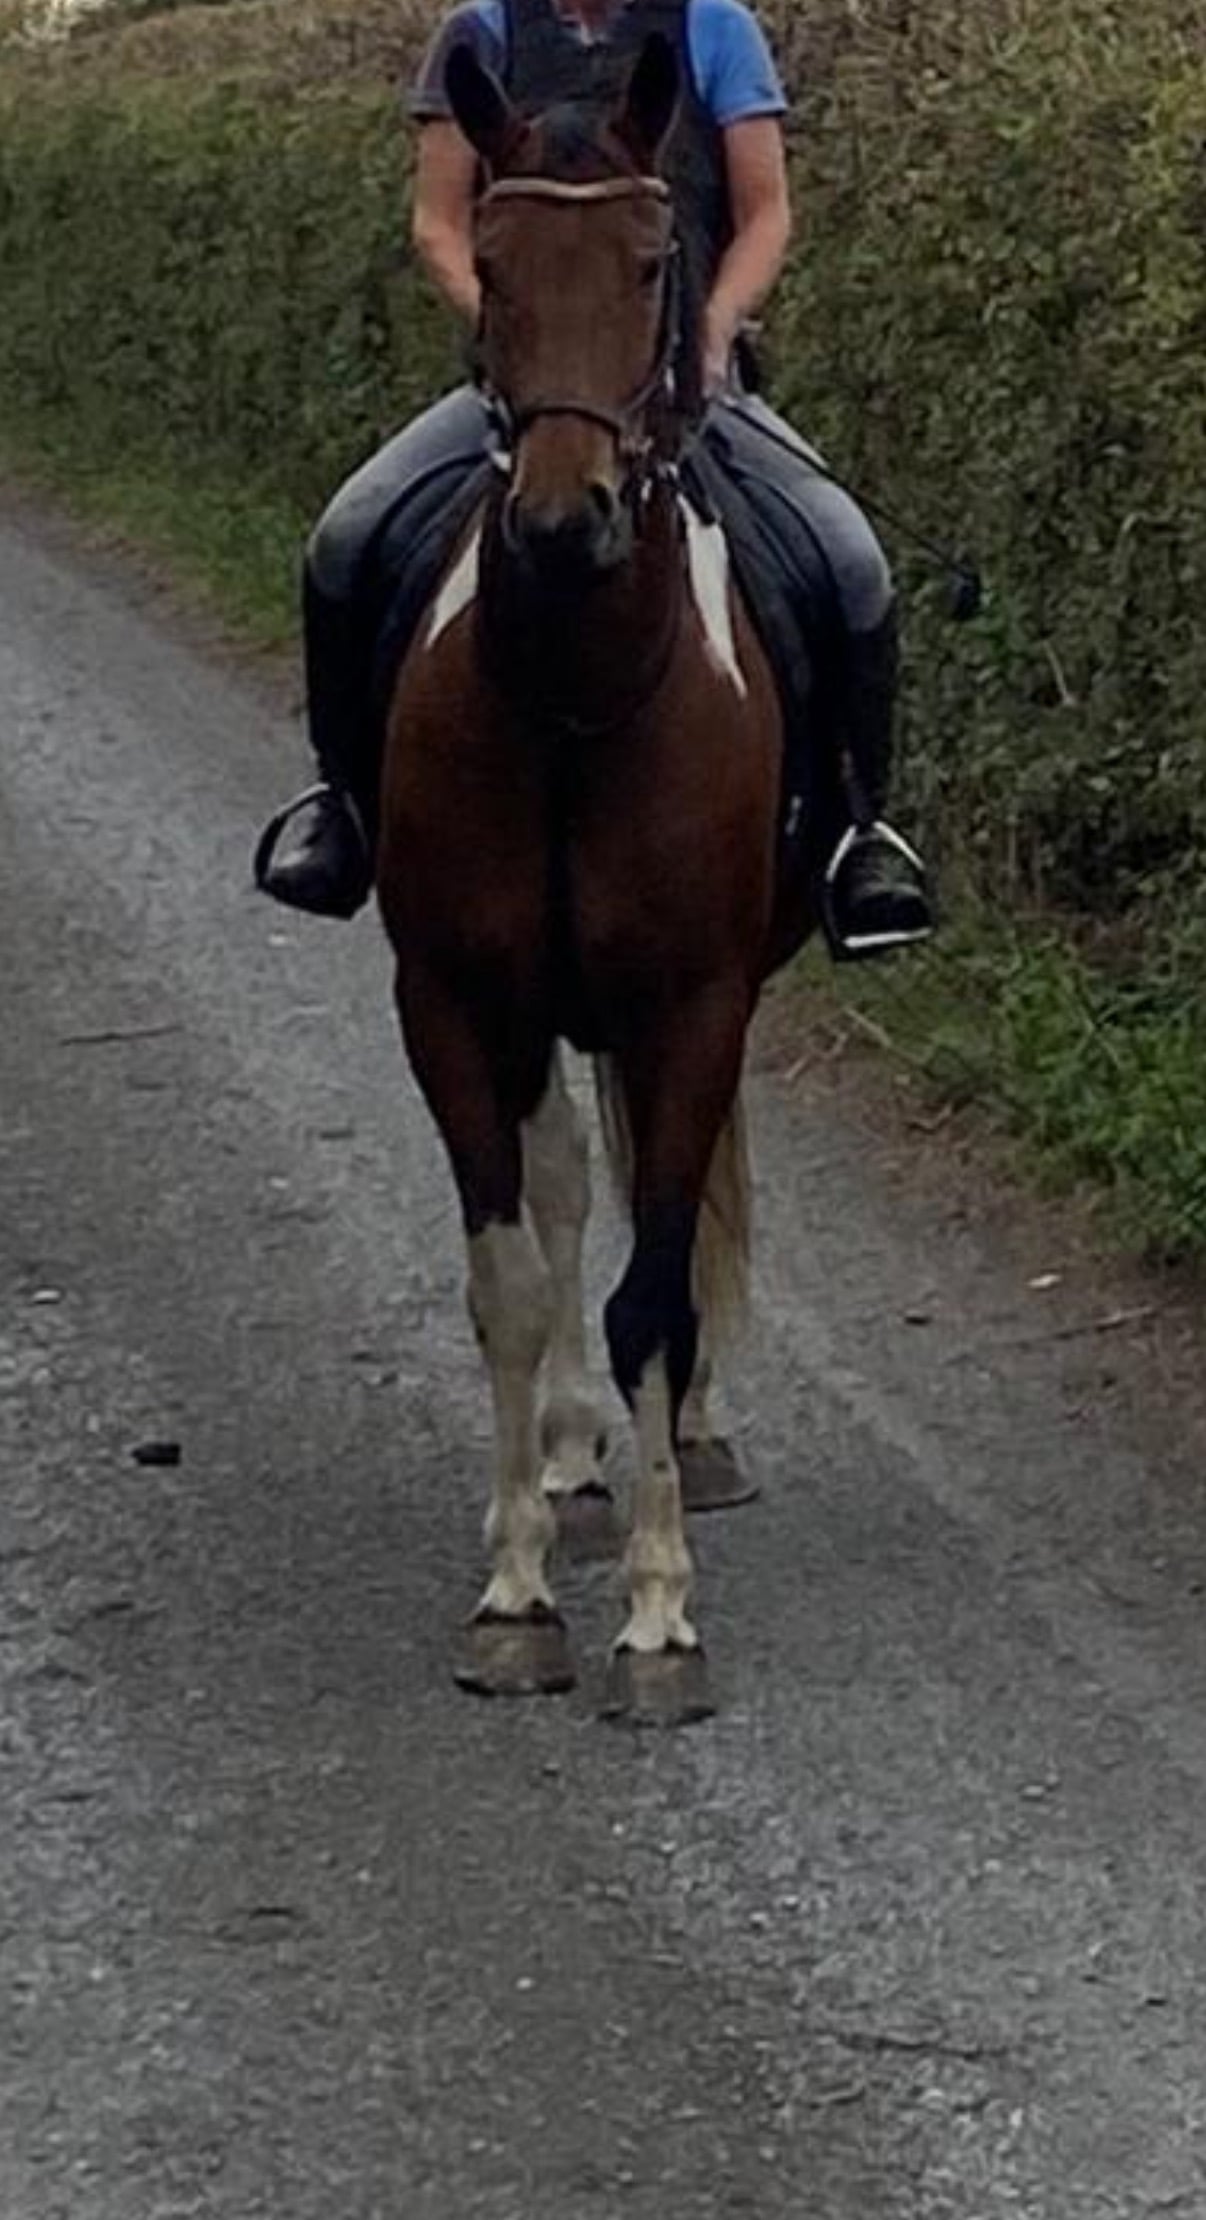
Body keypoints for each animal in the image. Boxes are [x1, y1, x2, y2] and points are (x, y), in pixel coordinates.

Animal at [377, 35, 808, 1725]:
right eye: (491, 266)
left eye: (647, 261)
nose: (564, 526)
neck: (572, 700)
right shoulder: (452, 1001)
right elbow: (507, 1277)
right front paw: (515, 1597)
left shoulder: (687, 1007)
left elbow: (656, 1286)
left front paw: (658, 1615)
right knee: (561, 1189)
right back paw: (569, 1461)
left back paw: (677, 1439)